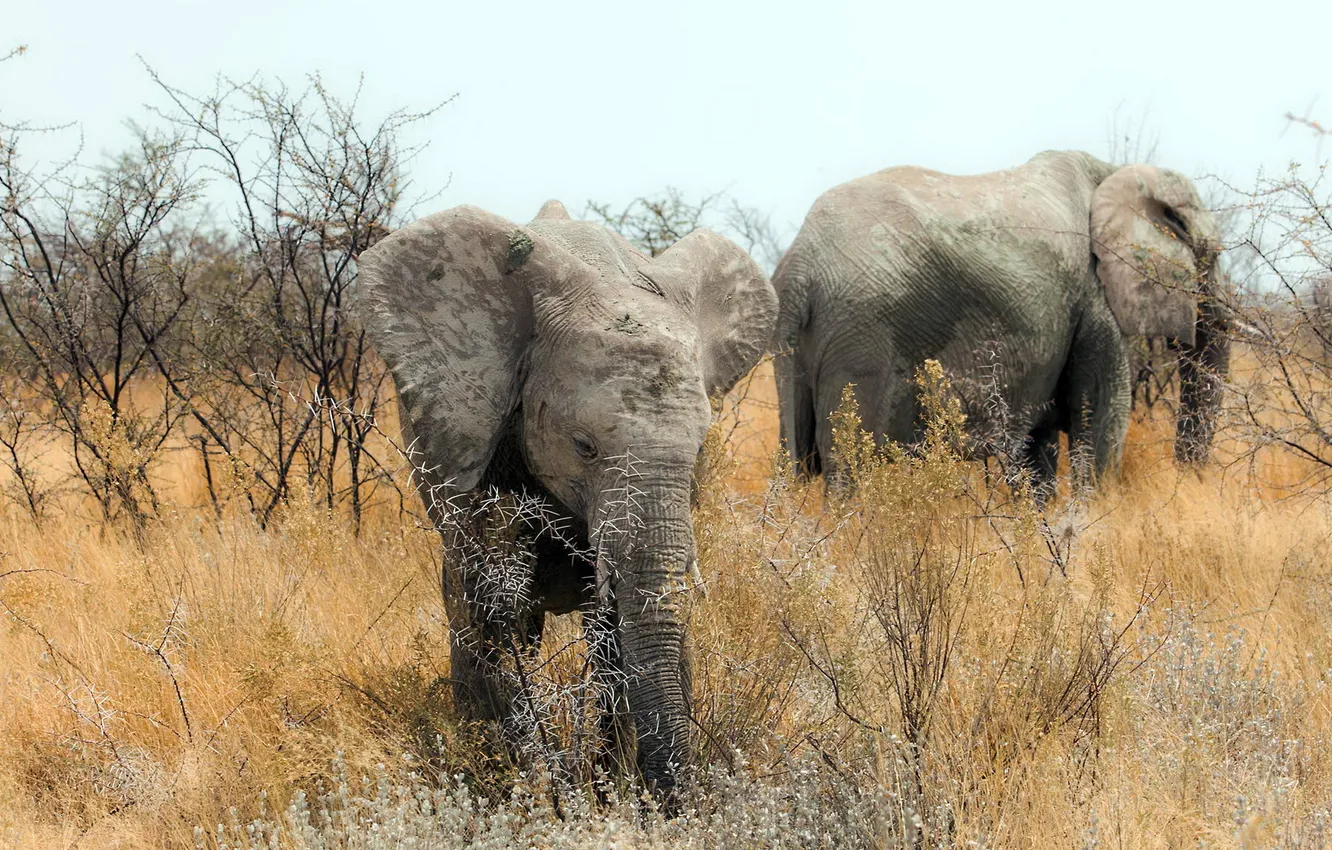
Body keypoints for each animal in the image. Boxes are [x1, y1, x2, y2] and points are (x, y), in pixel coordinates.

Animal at [356, 199, 777, 804]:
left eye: (700, 449)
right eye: (584, 446)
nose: (678, 806)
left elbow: (623, 628)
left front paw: (608, 790)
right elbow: (496, 614)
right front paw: (534, 791)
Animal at [777, 149, 1230, 490]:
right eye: (1211, 257)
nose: (1190, 479)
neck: (1114, 172)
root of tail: (801, 263)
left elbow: (1035, 453)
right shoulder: (1094, 299)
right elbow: (1102, 425)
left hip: (800, 346)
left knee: (793, 459)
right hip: (862, 337)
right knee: (849, 467)